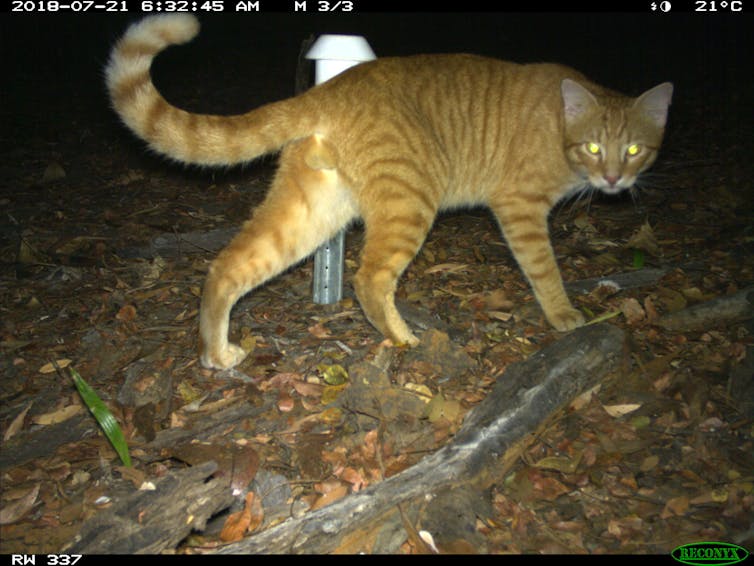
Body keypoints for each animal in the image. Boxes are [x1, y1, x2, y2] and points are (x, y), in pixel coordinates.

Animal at [104, 15, 668, 370]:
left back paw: (216, 354)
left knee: (227, 267)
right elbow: (546, 271)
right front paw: (566, 317)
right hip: (409, 203)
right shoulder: (520, 208)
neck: (561, 124)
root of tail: (330, 88)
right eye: (594, 147)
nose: (615, 179)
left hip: (309, 214)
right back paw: (404, 340)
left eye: (635, 149)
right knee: (369, 279)